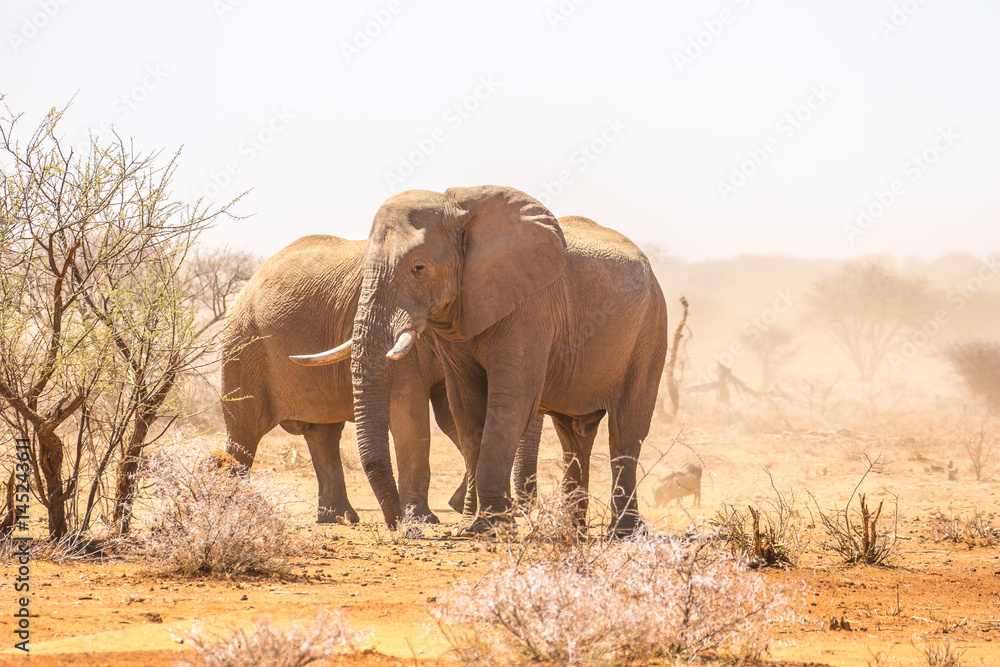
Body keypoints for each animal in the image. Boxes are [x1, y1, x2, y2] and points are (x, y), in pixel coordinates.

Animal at [221, 234, 544, 524]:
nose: (522, 510)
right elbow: (410, 408)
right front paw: (425, 520)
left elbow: (450, 417)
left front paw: (456, 505)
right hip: (243, 346)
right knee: (244, 433)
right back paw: (236, 511)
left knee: (323, 433)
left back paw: (339, 518)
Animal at [292, 186, 668, 537]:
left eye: (418, 268)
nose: (404, 527)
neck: (457, 207)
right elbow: (466, 405)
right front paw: (470, 526)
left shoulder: (532, 306)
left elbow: (510, 402)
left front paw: (491, 528)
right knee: (575, 435)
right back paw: (569, 531)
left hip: (651, 328)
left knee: (625, 431)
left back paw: (624, 533)